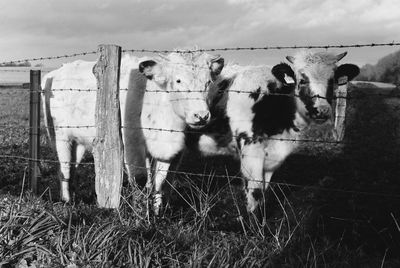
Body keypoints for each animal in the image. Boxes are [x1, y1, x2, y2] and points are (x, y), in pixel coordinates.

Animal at [43, 51, 225, 211]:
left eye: (208, 82)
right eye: (178, 80)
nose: (201, 115)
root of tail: (56, 72)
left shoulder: (170, 151)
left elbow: (160, 181)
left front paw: (157, 211)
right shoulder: (132, 146)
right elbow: (140, 179)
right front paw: (139, 210)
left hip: (79, 141)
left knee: (72, 167)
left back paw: (73, 196)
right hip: (61, 136)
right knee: (65, 167)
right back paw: (66, 200)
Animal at [187, 50, 360, 211]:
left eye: (332, 81)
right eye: (302, 80)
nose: (322, 110)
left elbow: (264, 190)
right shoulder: (250, 150)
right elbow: (255, 193)